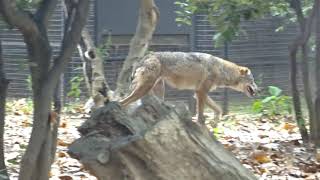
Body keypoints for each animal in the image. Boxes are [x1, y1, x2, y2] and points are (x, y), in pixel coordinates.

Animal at [119, 52, 258, 124]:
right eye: (252, 81)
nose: (258, 90)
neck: (222, 70)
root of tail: (146, 56)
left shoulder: (199, 92)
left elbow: (217, 108)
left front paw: (215, 120)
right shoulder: (201, 92)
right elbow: (200, 113)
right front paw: (201, 124)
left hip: (158, 91)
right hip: (144, 89)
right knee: (122, 102)